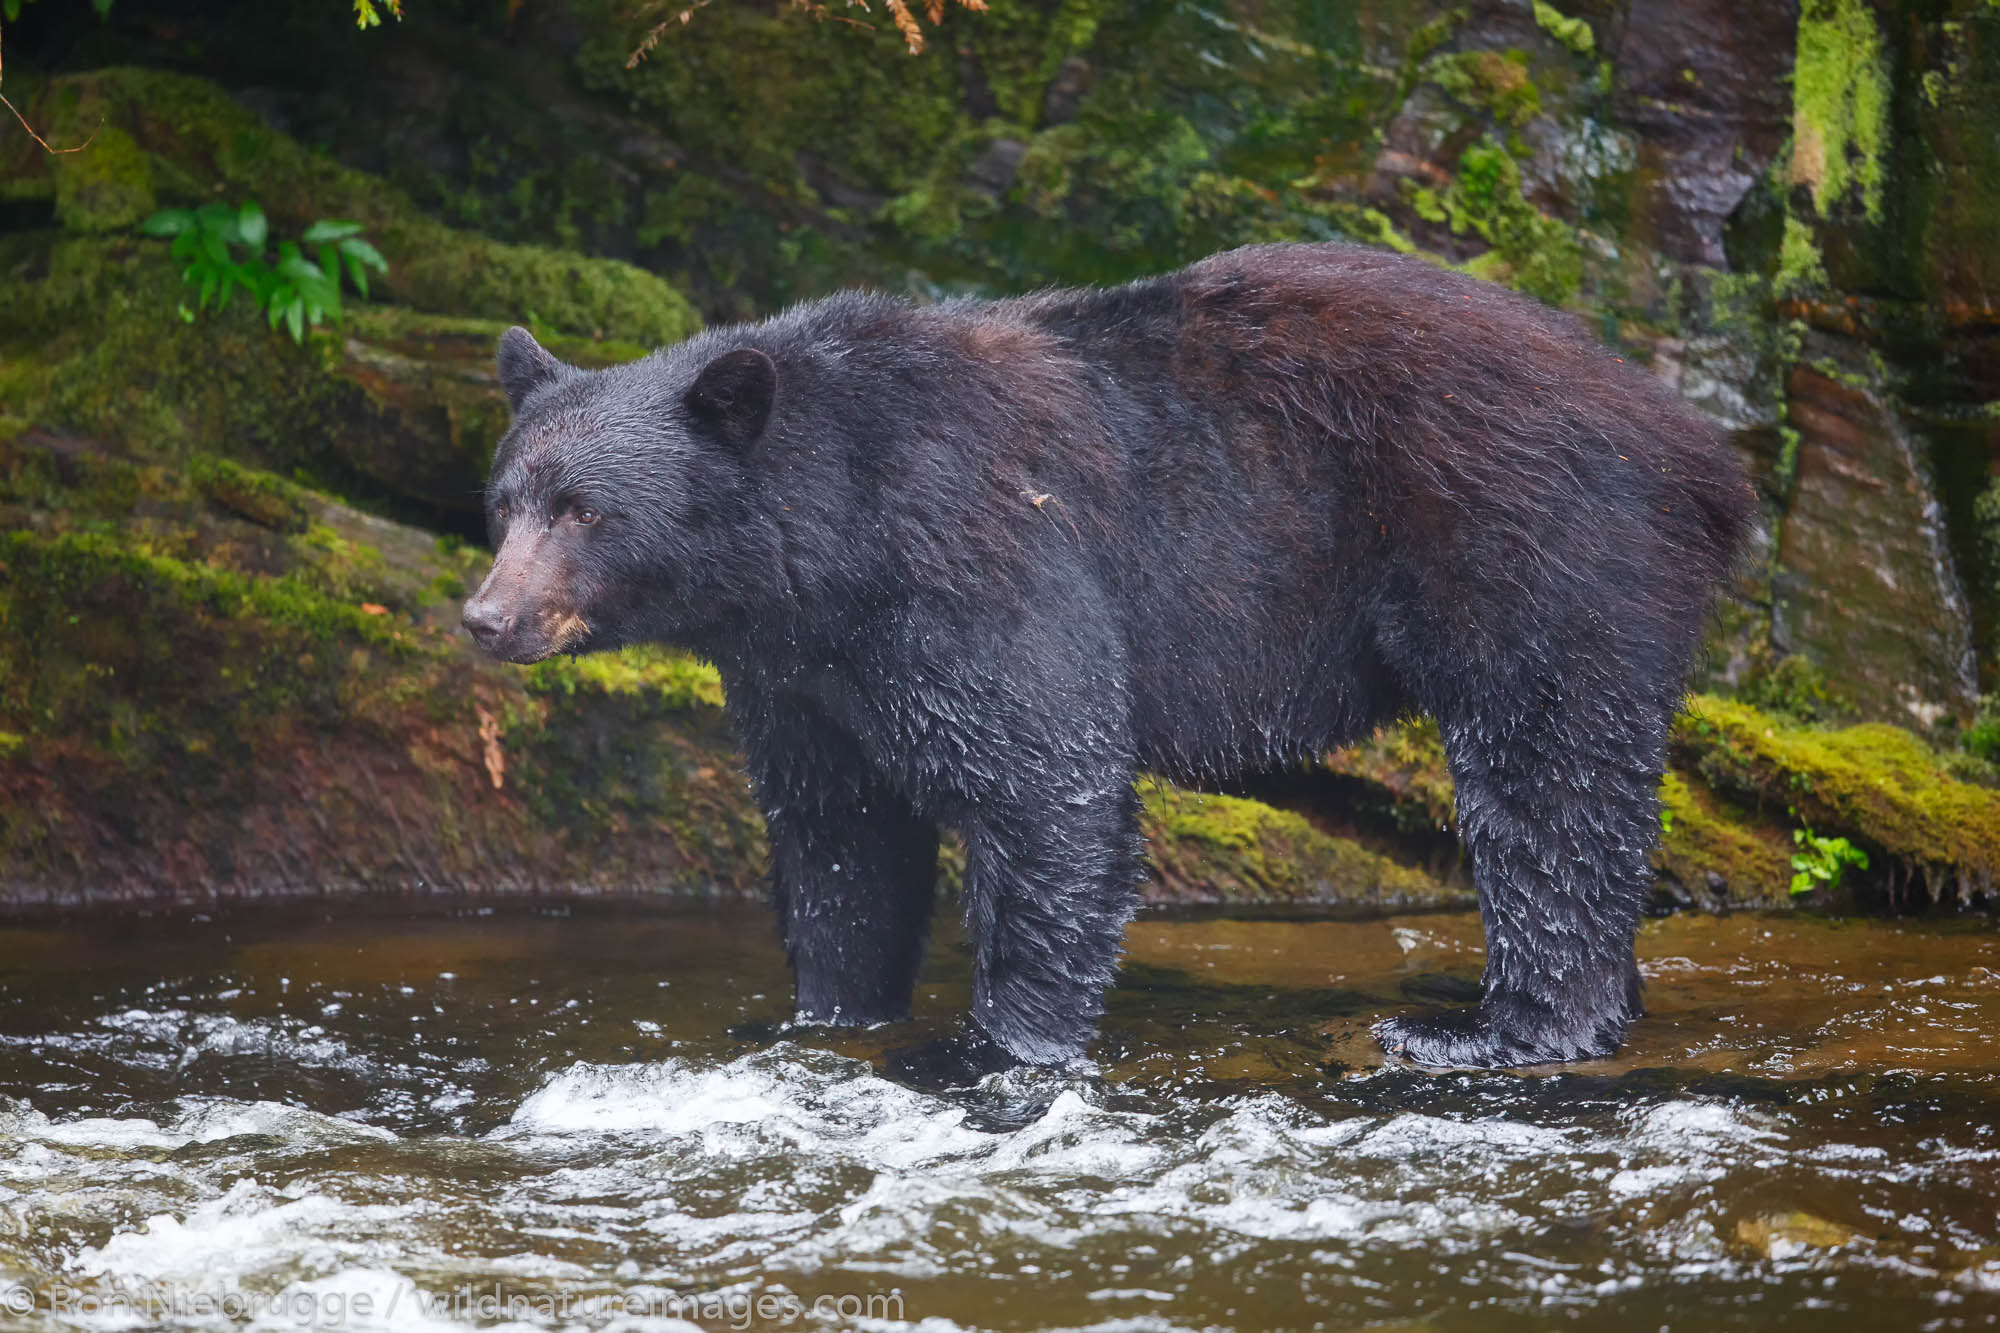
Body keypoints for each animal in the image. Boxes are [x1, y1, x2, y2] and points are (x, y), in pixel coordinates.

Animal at [464, 244, 1752, 1088]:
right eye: (505, 500)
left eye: (584, 510)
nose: (486, 616)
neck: (826, 541)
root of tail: (1698, 451)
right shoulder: (800, 675)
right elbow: (841, 835)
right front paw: (818, 1019)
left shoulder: (974, 562)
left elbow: (1043, 782)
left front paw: (988, 1049)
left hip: (1532, 547)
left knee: (1546, 781)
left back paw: (1502, 1030)